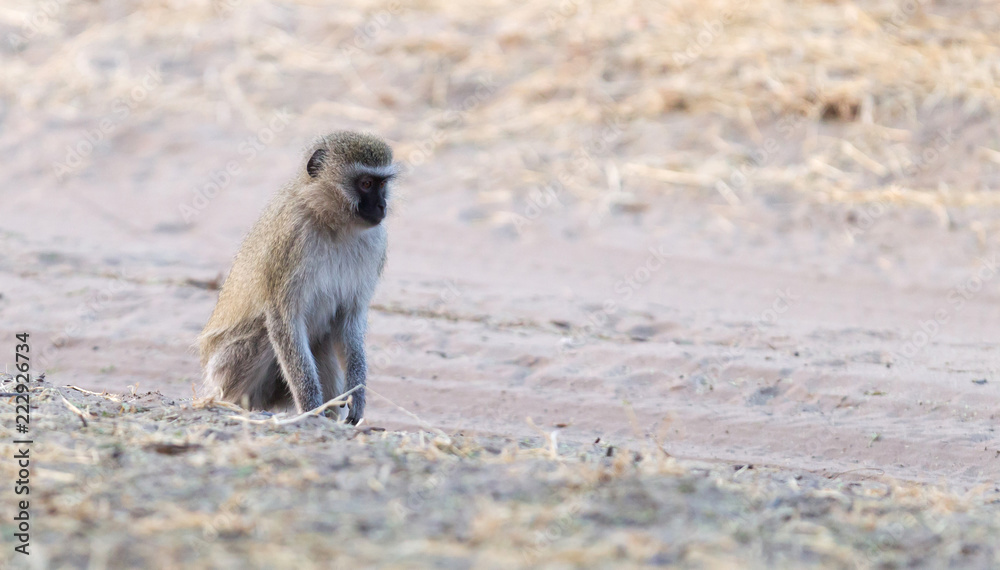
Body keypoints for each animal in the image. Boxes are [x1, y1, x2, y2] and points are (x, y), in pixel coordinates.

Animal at [198, 131, 395, 425]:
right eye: (366, 183)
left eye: (382, 185)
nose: (382, 206)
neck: (331, 224)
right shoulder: (290, 239)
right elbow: (283, 318)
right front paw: (311, 408)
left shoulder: (376, 242)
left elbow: (350, 319)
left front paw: (357, 395)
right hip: (223, 368)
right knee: (263, 330)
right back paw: (230, 405)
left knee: (324, 340)